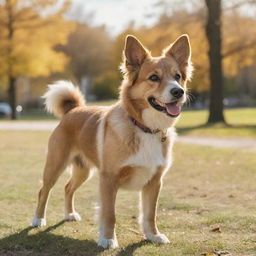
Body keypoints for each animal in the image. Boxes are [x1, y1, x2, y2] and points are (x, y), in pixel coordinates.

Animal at [32, 34, 192, 248]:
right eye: (154, 78)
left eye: (178, 76)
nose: (178, 92)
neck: (145, 128)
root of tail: (73, 110)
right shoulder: (108, 179)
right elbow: (110, 214)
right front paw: (108, 239)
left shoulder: (155, 182)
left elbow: (150, 214)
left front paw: (153, 235)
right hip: (55, 165)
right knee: (43, 191)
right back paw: (38, 219)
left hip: (83, 170)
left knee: (68, 187)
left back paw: (69, 214)